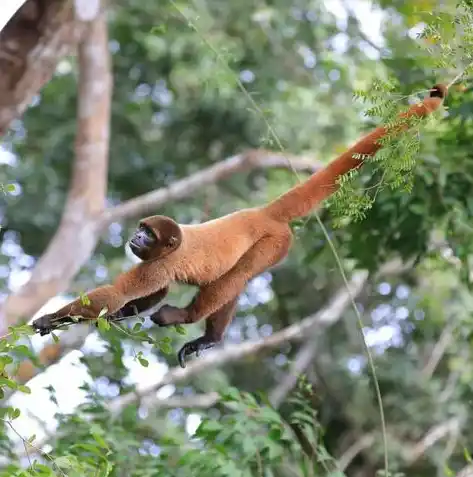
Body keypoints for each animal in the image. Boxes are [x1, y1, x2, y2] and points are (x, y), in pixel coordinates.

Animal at [32, 83, 446, 366]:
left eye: (147, 234)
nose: (134, 236)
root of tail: (261, 214)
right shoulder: (155, 267)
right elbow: (148, 295)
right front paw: (119, 314)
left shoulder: (159, 264)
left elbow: (117, 294)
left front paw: (52, 318)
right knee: (234, 283)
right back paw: (211, 340)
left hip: (275, 243)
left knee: (236, 277)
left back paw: (187, 319)